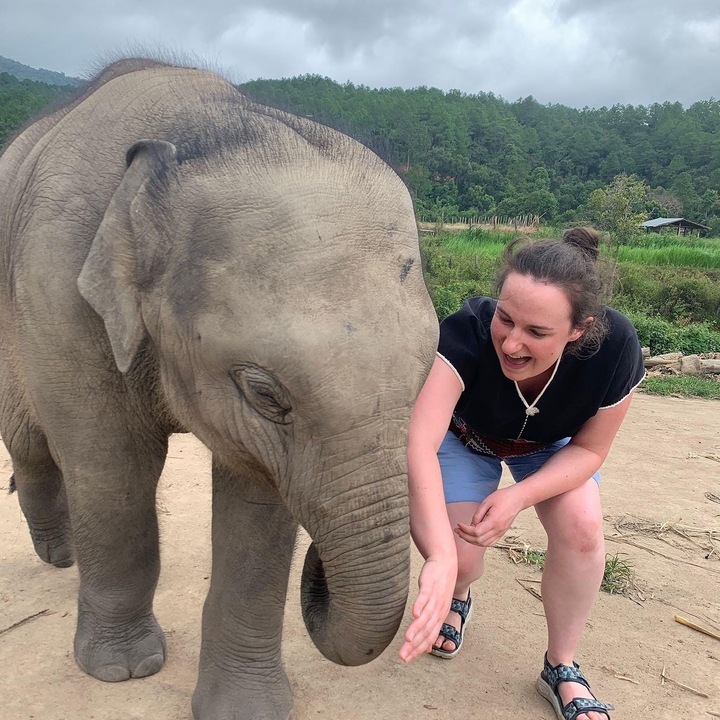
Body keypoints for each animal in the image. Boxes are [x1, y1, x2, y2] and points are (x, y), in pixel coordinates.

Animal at [0, 59, 438, 719]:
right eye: (265, 393)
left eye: (423, 377)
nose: (319, 573)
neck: (200, 132)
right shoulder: (58, 292)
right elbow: (113, 467)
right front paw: (123, 671)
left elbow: (259, 500)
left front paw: (245, 711)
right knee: (28, 437)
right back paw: (61, 556)